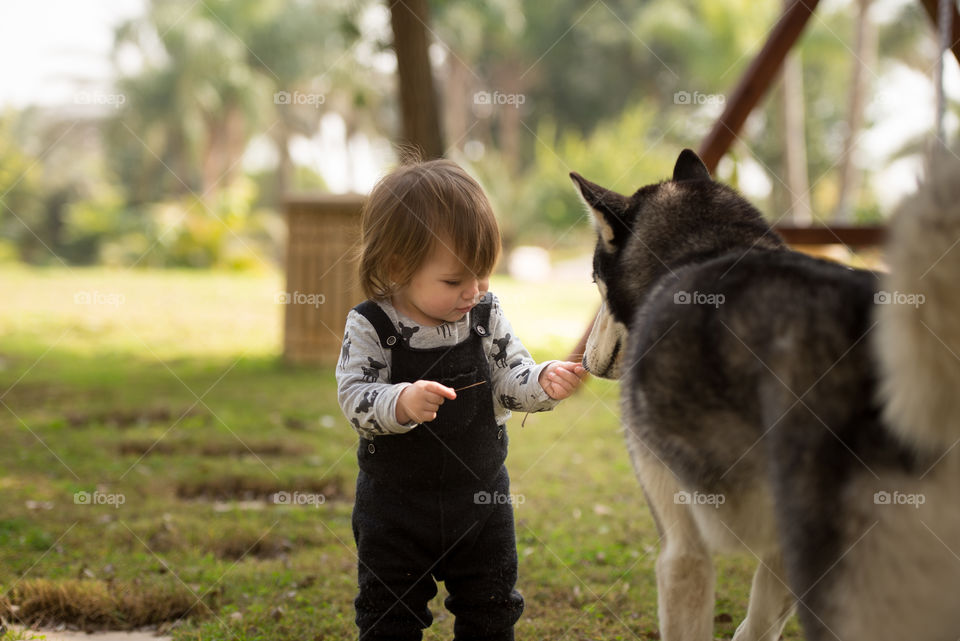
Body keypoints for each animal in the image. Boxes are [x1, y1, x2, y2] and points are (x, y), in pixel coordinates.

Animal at [568, 150, 960, 640]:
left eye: (594, 282)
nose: (584, 362)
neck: (710, 249)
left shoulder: (682, 547)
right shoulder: (775, 553)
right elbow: (757, 625)